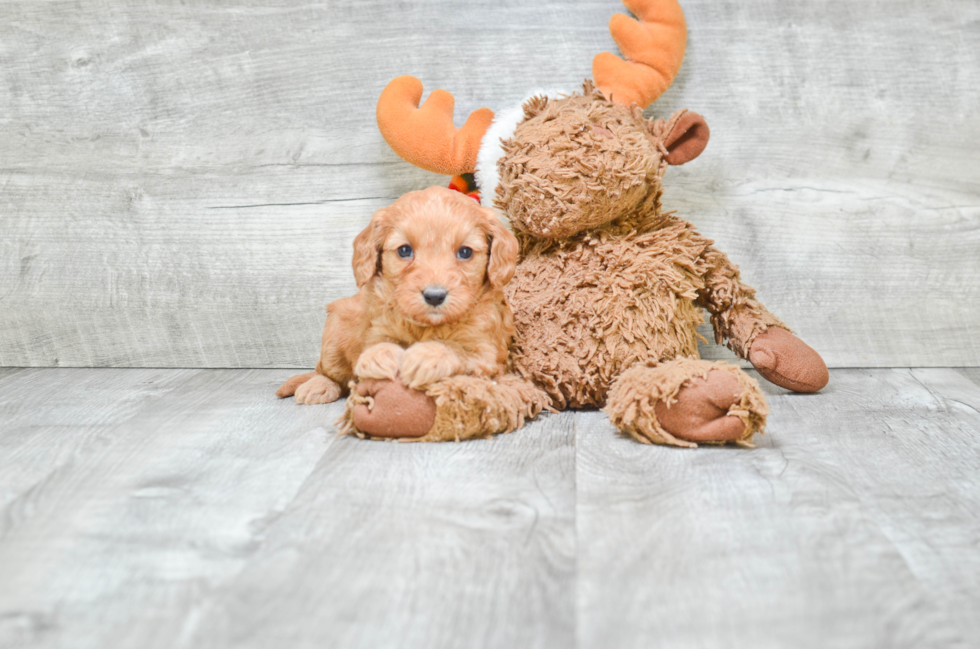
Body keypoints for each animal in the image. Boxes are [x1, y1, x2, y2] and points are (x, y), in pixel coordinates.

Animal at [276, 185, 520, 402]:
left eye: (465, 252)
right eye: (404, 250)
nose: (434, 296)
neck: (425, 327)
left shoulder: (486, 352)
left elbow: (456, 348)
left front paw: (426, 356)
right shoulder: (376, 328)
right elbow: (379, 344)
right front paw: (379, 356)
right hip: (335, 330)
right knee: (330, 373)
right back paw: (318, 385)